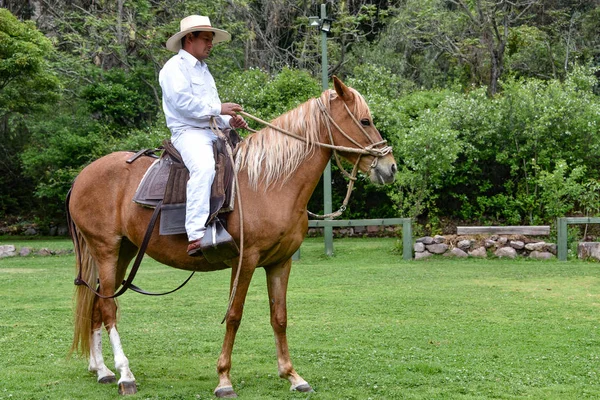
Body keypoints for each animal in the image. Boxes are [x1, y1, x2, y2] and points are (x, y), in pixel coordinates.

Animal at [67, 76, 398, 398]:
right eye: (365, 121)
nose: (390, 167)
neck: (268, 183)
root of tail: (82, 176)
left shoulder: (280, 262)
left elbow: (279, 317)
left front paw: (292, 376)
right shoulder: (245, 261)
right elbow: (234, 316)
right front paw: (224, 379)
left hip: (123, 251)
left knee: (96, 306)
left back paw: (103, 370)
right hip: (106, 249)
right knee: (109, 309)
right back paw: (125, 375)